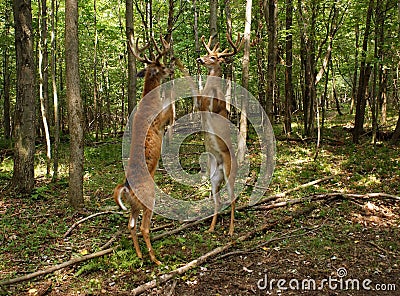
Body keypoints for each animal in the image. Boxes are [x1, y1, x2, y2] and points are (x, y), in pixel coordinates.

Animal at [113, 35, 174, 264]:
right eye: (162, 66)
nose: (171, 71)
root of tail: (126, 188)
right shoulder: (161, 119)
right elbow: (171, 105)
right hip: (149, 199)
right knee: (143, 227)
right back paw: (155, 259)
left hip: (133, 205)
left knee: (130, 225)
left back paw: (139, 255)